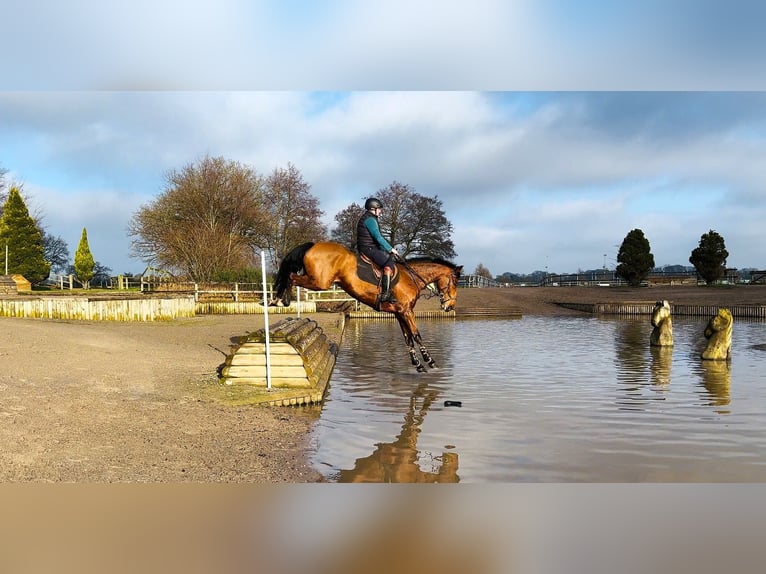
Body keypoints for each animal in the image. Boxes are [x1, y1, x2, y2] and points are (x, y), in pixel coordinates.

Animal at [272, 242, 462, 374]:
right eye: (455, 282)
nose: (449, 306)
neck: (411, 277)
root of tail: (314, 244)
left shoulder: (400, 312)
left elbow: (408, 338)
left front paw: (417, 365)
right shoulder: (407, 312)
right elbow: (417, 335)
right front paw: (430, 361)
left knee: (292, 276)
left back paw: (281, 299)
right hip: (319, 282)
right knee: (291, 276)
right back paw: (281, 300)